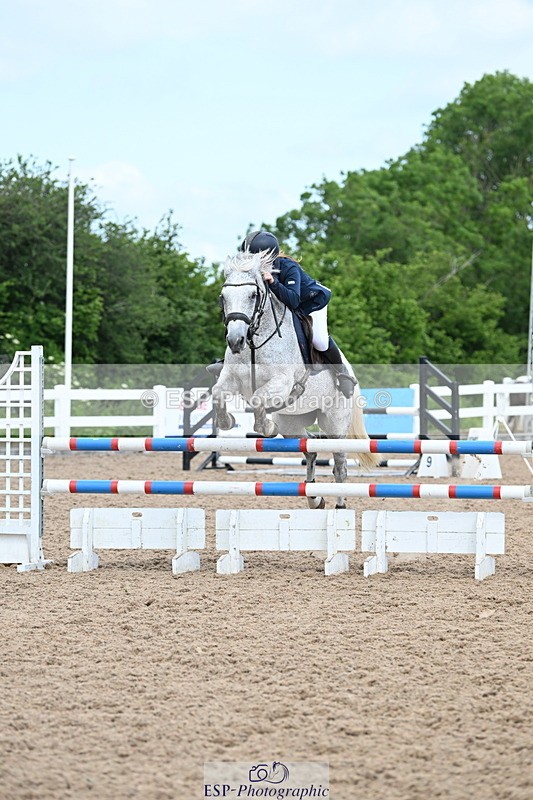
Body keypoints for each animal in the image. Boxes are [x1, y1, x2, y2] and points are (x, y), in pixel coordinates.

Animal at [211, 250, 380, 508]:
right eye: (223, 296)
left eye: (252, 295)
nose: (235, 341)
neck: (255, 343)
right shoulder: (230, 378)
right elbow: (218, 393)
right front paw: (227, 421)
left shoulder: (282, 382)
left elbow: (259, 399)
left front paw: (266, 428)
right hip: (290, 422)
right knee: (310, 449)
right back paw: (314, 498)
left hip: (335, 423)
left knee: (340, 465)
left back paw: (340, 504)